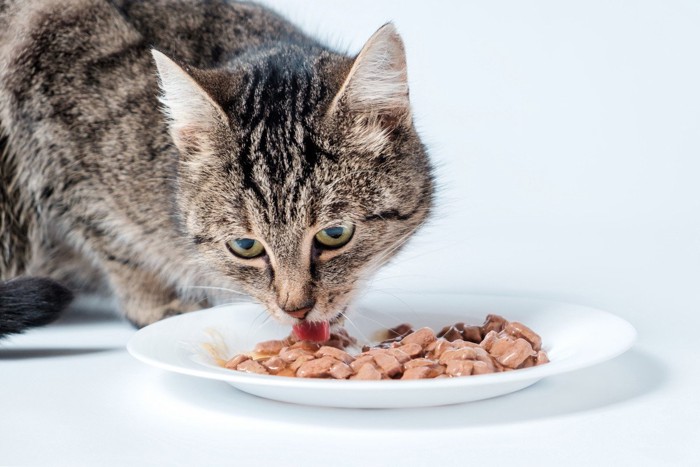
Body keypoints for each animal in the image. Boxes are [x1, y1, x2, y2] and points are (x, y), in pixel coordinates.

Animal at [0, 0, 434, 338]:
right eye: (245, 246)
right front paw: (157, 304)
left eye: (334, 235)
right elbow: (114, 244)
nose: (295, 308)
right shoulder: (55, 145)